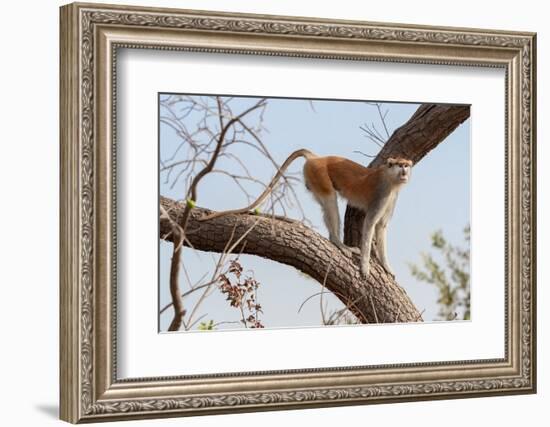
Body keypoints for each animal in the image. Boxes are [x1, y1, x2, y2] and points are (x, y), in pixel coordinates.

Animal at [203, 150, 414, 278]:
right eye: (399, 165)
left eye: (406, 165)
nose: (405, 171)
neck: (390, 179)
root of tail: (316, 158)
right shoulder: (382, 195)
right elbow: (370, 223)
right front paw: (365, 266)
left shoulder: (391, 198)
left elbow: (381, 227)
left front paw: (386, 266)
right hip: (318, 174)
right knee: (330, 200)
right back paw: (338, 243)